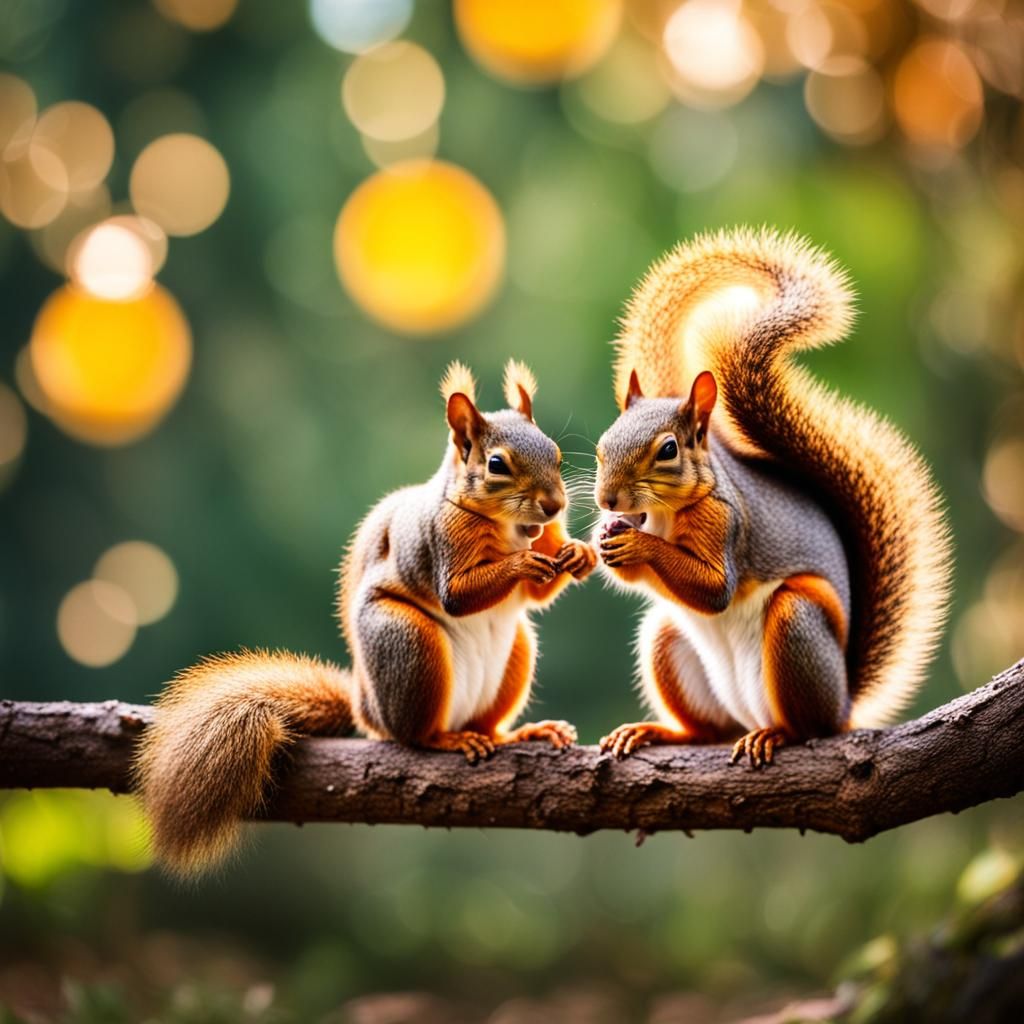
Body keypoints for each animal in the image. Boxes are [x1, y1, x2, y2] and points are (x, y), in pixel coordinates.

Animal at [136, 359, 596, 875]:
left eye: (557, 453)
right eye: (497, 465)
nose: (555, 505)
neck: (514, 527)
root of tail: (365, 707)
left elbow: (538, 593)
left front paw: (579, 554)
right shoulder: (441, 541)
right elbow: (457, 595)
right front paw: (522, 564)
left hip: (515, 652)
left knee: (488, 722)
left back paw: (517, 733)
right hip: (407, 643)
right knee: (414, 734)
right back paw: (446, 740)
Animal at [592, 227, 951, 766]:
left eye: (668, 450)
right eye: (603, 443)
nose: (608, 500)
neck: (661, 515)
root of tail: (844, 703)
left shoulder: (726, 522)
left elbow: (713, 589)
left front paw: (638, 545)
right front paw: (603, 538)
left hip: (796, 622)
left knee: (808, 726)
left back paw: (779, 735)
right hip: (668, 641)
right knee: (709, 731)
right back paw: (658, 732)